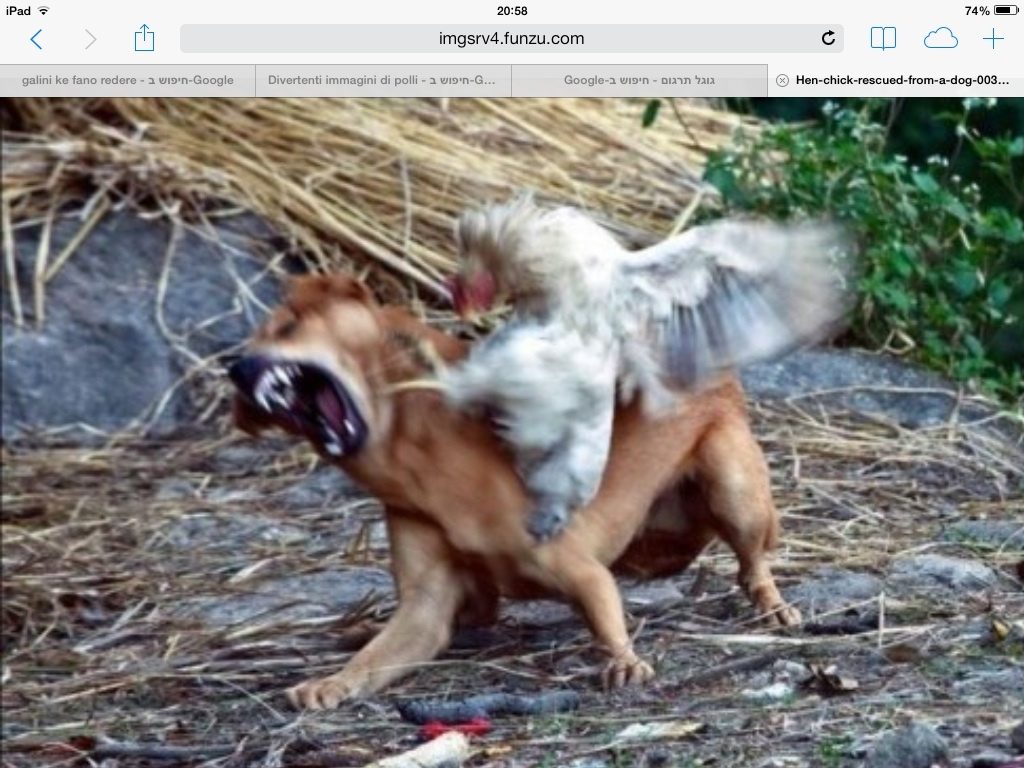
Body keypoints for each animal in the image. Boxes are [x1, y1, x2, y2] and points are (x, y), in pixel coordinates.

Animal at [228, 273, 800, 709]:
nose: (234, 367)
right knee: (477, 612)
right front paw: (334, 682)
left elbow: (605, 617)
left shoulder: (581, 570)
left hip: (733, 488)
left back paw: (774, 607)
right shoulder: (425, 604)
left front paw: (624, 662)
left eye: (288, 325)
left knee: (752, 564)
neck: (415, 460)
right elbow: (376, 659)